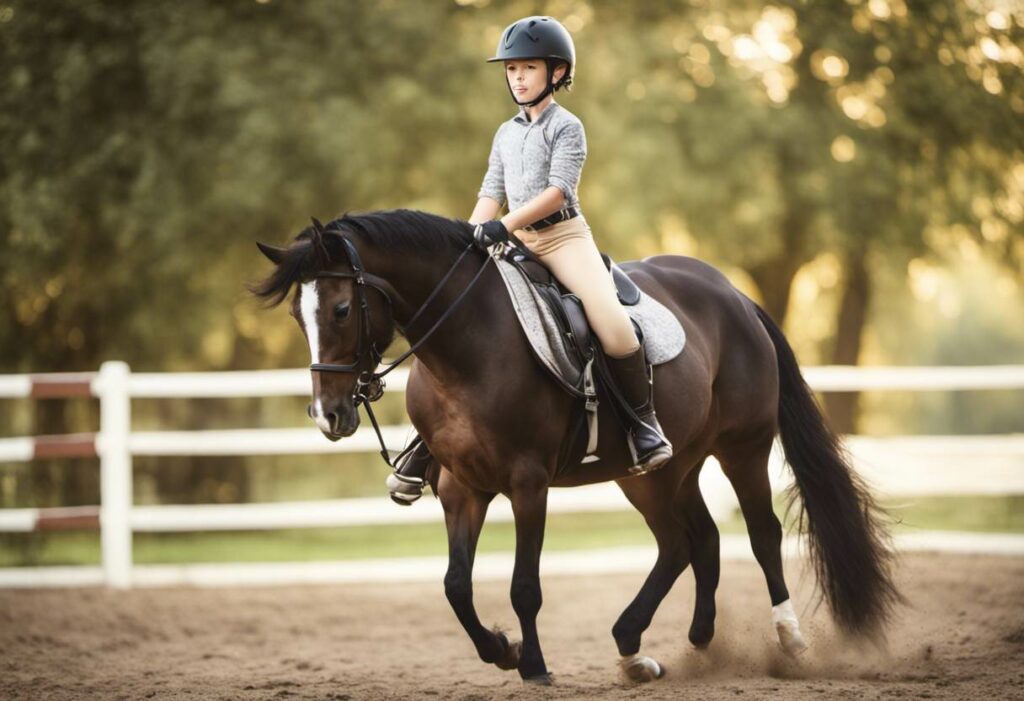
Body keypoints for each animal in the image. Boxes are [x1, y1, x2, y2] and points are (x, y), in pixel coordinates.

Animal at [251, 207, 901, 683]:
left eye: (340, 308)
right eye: (298, 315)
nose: (328, 416)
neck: (468, 344)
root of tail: (734, 296)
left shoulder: (527, 483)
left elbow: (524, 585)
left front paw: (534, 665)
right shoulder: (462, 488)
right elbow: (456, 586)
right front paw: (502, 650)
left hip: (742, 449)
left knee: (760, 534)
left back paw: (786, 639)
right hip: (658, 471)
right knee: (690, 542)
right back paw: (662, 647)